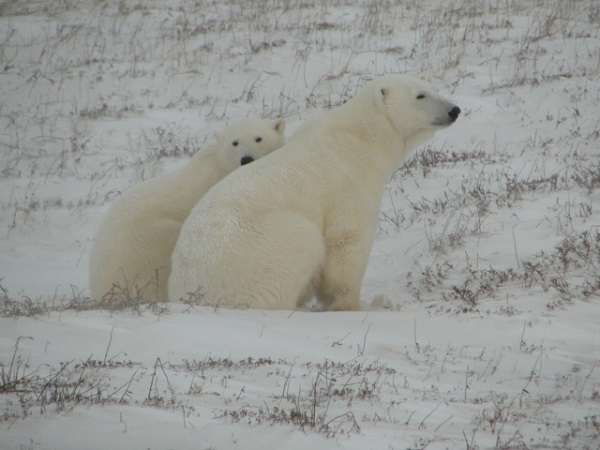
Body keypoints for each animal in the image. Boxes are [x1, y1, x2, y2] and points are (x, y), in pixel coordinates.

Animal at [169, 74, 460, 312]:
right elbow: (346, 240)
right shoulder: (349, 181)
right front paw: (361, 305)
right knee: (300, 242)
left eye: (436, 89)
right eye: (420, 95)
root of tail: (188, 292)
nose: (454, 109)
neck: (361, 137)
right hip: (258, 246)